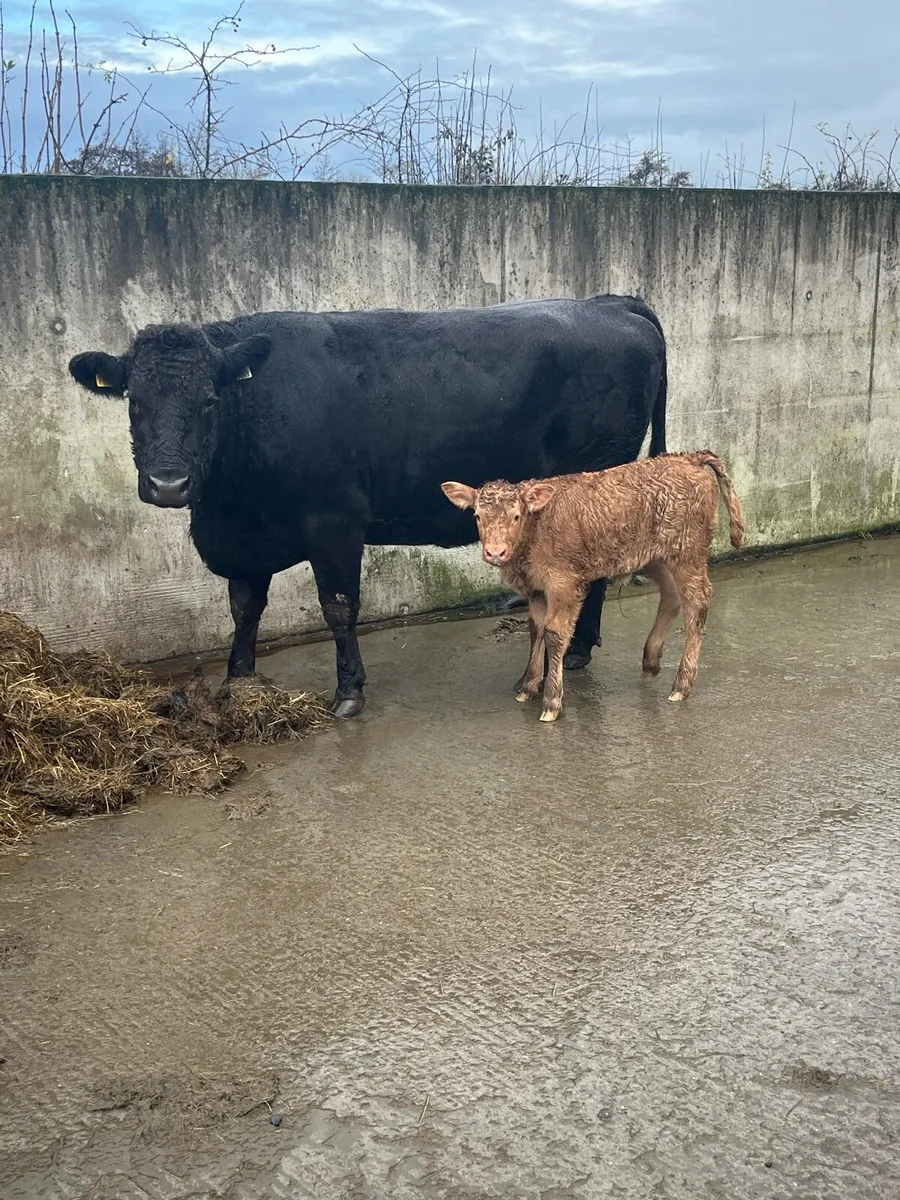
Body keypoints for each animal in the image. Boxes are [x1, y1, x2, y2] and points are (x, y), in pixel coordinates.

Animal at [68, 294, 668, 717]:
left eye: (210, 401)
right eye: (134, 402)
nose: (169, 484)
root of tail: (610, 301)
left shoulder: (334, 522)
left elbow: (338, 607)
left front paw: (348, 692)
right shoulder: (245, 541)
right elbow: (244, 608)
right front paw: (237, 680)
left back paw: (577, 651)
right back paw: (580, 650)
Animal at [441, 451, 744, 722]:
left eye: (516, 516)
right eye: (477, 516)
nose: (495, 552)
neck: (536, 526)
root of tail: (689, 457)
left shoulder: (563, 583)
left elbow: (554, 633)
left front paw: (551, 702)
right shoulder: (536, 589)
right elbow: (535, 630)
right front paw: (528, 686)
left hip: (688, 551)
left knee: (697, 603)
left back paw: (681, 685)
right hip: (653, 556)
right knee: (671, 595)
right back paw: (650, 661)